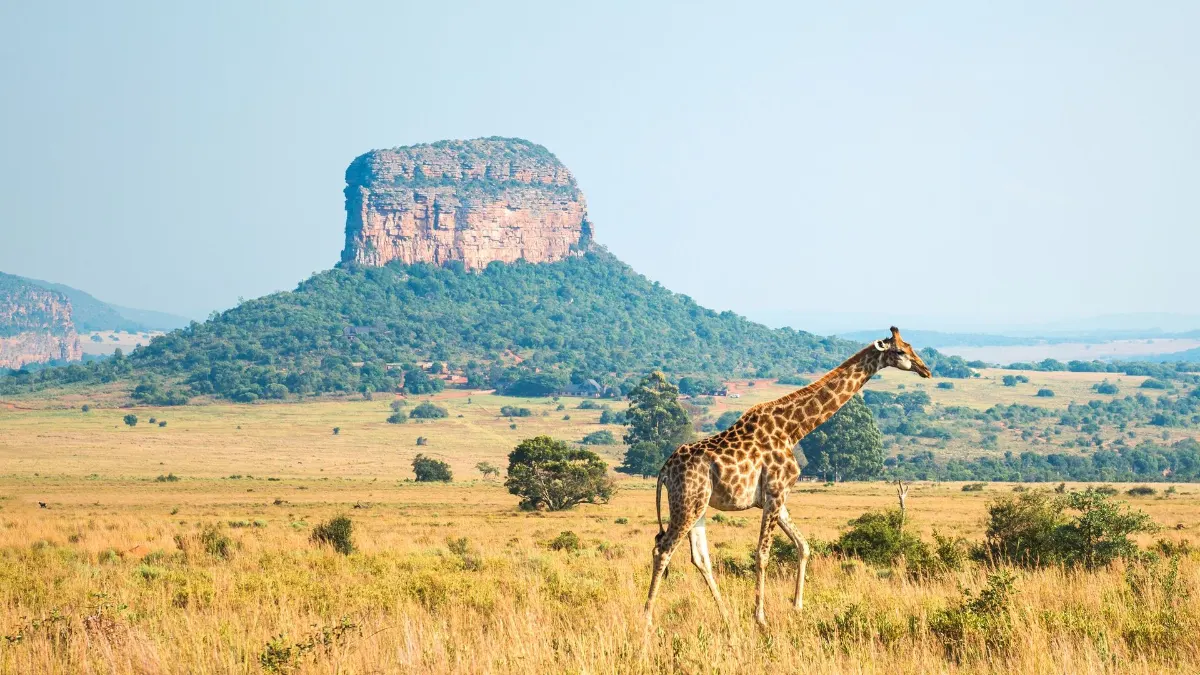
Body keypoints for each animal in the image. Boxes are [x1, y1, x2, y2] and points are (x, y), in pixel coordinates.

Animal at [643, 326, 931, 627]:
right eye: (899, 351)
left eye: (910, 346)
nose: (925, 369)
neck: (793, 430)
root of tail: (664, 470)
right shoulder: (775, 493)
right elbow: (762, 554)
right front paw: (760, 617)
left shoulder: (777, 497)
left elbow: (803, 546)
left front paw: (797, 606)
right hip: (687, 502)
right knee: (663, 549)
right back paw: (648, 617)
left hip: (698, 505)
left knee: (699, 558)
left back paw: (726, 615)